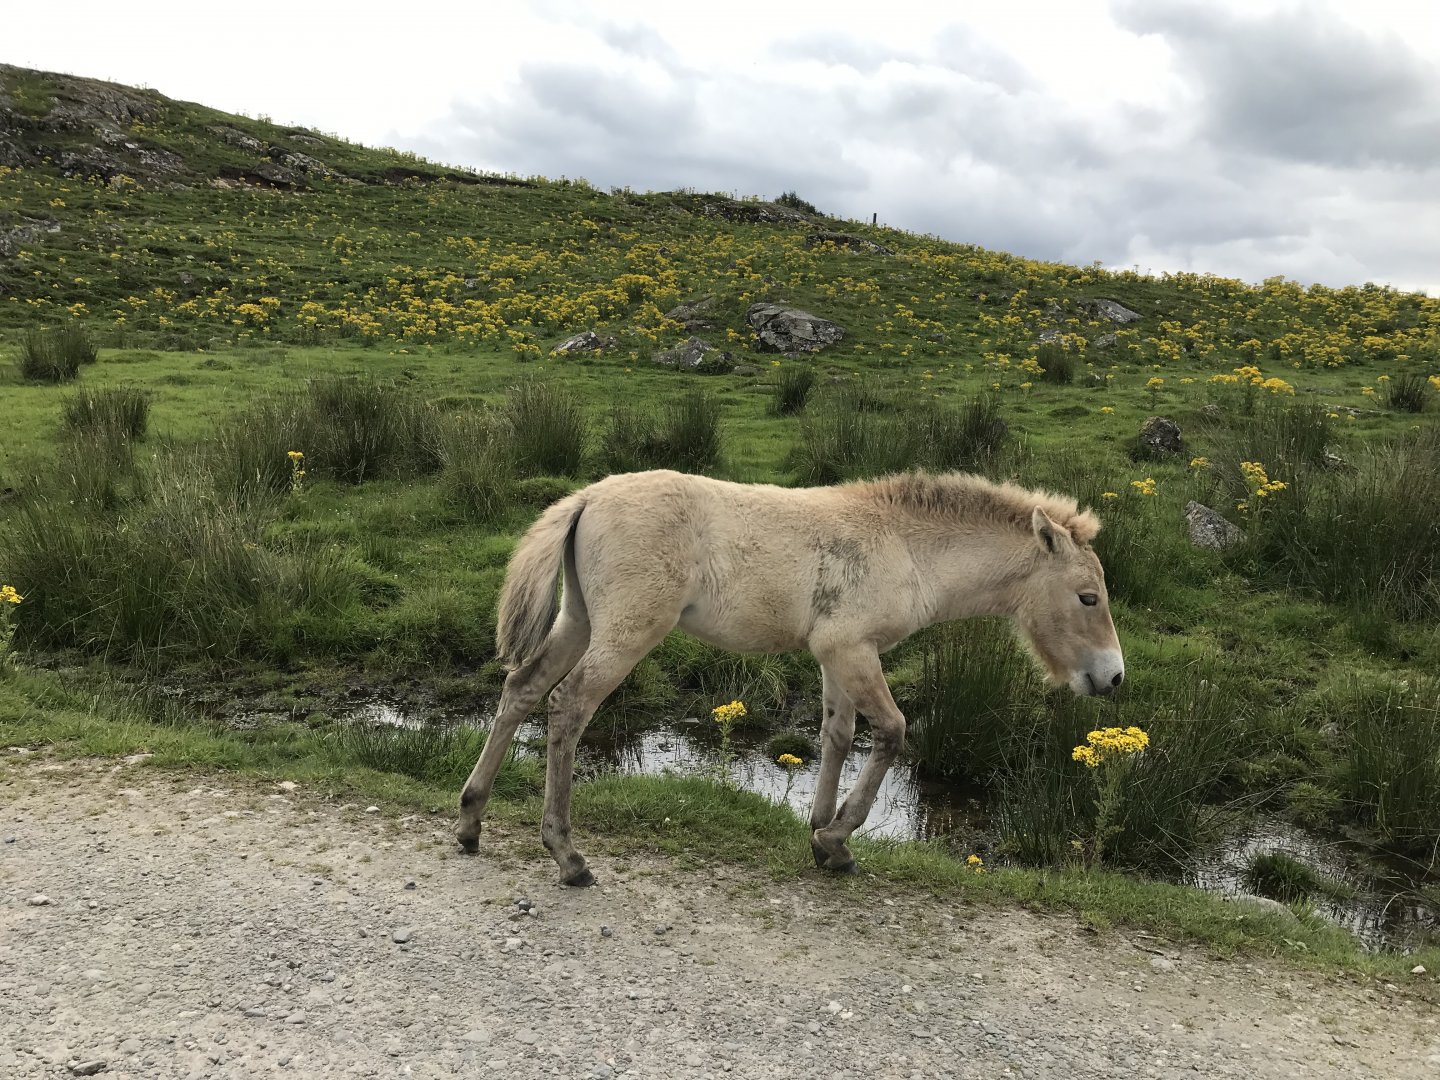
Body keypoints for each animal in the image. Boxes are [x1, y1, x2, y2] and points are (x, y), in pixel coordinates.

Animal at [457, 469, 1124, 885]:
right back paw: (568, 857)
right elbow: (891, 732)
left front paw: (824, 838)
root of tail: (588, 498)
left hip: (578, 620)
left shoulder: (836, 656)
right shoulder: (852, 649)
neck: (908, 549)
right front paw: (837, 836)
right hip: (626, 631)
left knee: (522, 690)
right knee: (568, 706)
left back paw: (470, 823)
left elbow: (837, 736)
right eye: (1088, 597)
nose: (1113, 678)